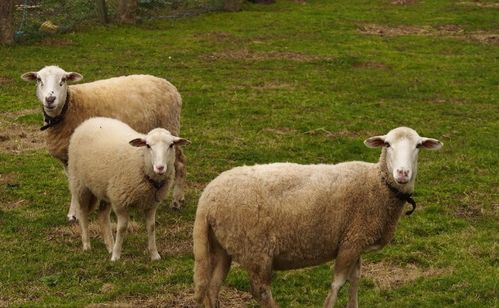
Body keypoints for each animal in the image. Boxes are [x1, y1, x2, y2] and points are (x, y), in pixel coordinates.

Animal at [20, 66, 188, 223]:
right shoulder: (67, 158)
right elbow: (72, 184)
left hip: (170, 127)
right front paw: (74, 211)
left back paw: (176, 201)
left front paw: (75, 214)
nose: (50, 99)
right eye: (39, 80)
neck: (69, 107)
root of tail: (170, 86)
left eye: (63, 80)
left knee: (180, 163)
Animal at [68, 116, 189, 262]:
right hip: (80, 184)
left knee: (103, 216)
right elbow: (122, 228)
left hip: (106, 189)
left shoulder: (151, 204)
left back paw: (109, 245)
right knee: (82, 213)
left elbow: (151, 227)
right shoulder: (120, 202)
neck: (141, 163)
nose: (160, 168)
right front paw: (116, 256)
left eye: (171, 145)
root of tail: (91, 120)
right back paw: (87, 245)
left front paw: (154, 255)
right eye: (148, 145)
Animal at [193, 126, 444, 306]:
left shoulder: (355, 240)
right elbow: (337, 285)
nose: (402, 173)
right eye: (388, 144)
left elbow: (355, 281)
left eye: (418, 146)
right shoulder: (351, 242)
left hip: (223, 246)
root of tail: (207, 197)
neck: (378, 185)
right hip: (255, 250)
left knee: (212, 288)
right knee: (261, 291)